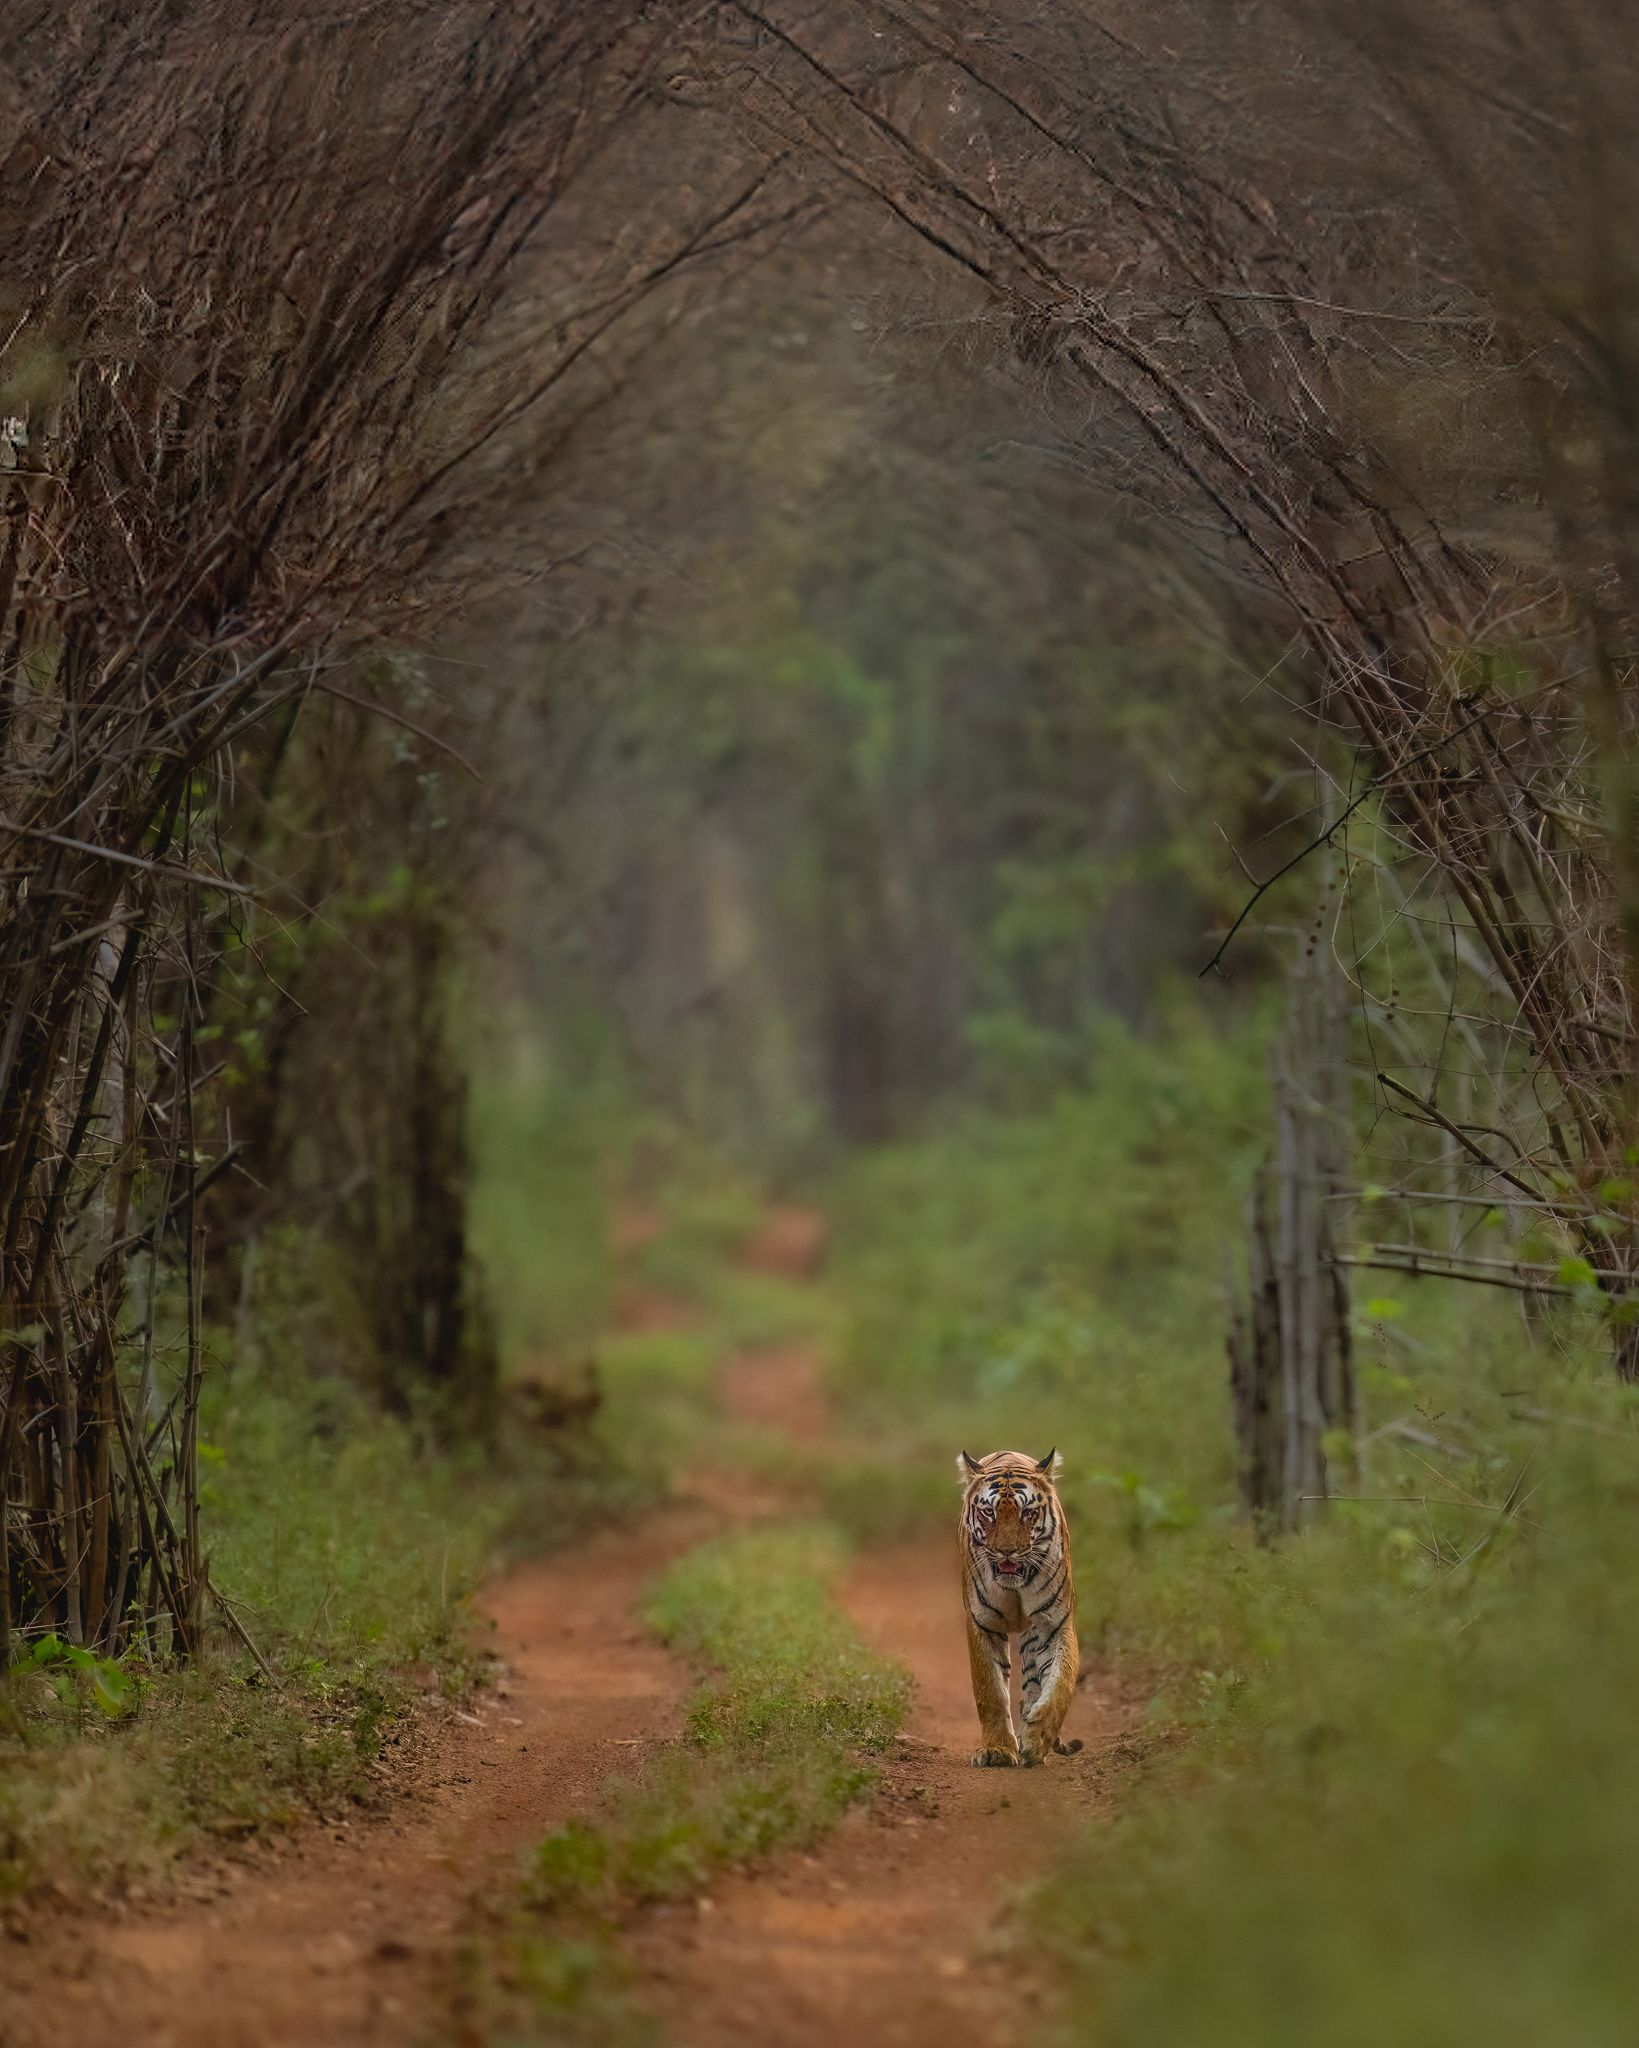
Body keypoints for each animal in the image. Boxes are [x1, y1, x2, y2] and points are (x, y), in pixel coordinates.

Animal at [958, 1448, 1082, 1767]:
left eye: (1028, 1512)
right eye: (988, 1512)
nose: (1007, 1551)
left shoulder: (1054, 1626)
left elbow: (1060, 1687)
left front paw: (1037, 1741)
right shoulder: (983, 1624)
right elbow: (991, 1691)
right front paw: (997, 1750)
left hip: (1033, 1634)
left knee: (1035, 1682)